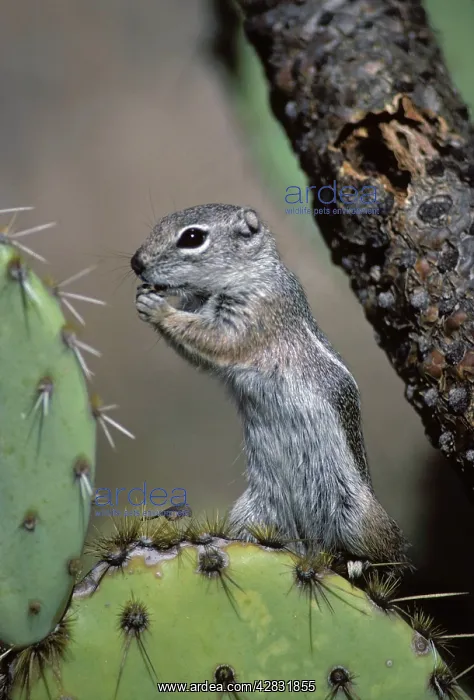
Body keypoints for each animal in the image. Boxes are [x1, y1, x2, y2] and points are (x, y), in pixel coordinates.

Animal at [131, 203, 410, 575]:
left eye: (192, 237)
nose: (136, 262)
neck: (250, 272)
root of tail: (311, 542)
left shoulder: (255, 312)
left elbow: (216, 340)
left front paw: (159, 309)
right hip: (256, 509)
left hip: (360, 516)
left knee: (391, 554)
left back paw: (361, 563)